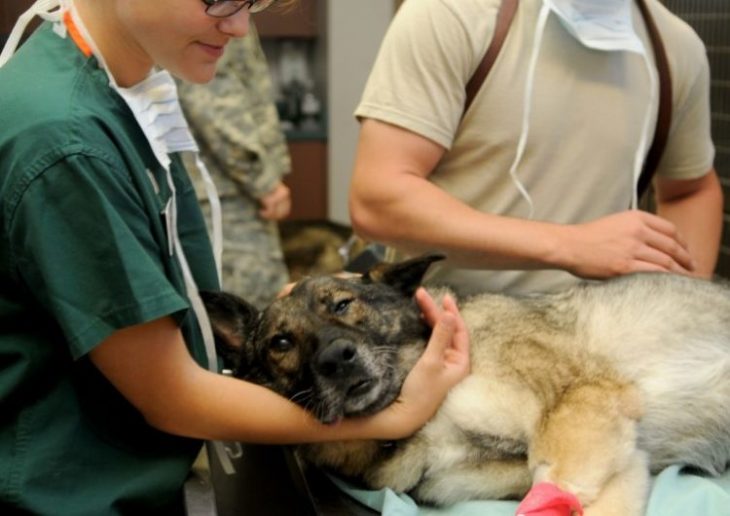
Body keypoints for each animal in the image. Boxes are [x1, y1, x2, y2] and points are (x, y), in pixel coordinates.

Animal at [202, 256, 728, 512]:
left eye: (342, 304)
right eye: (281, 342)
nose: (336, 359)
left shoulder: (579, 404)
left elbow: (558, 481)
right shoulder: (616, 457)